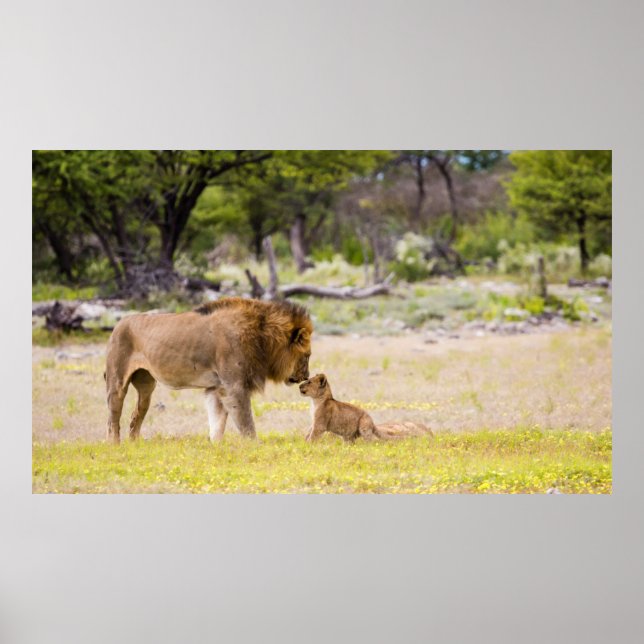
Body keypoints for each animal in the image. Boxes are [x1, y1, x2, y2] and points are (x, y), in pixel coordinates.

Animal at [104, 297, 313, 444]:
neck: (263, 338)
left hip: (147, 385)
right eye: (307, 355)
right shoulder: (234, 387)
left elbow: (217, 423)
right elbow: (246, 422)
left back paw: (135, 444)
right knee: (112, 418)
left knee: (136, 414)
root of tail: (118, 324)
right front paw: (255, 445)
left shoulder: (216, 388)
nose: (306, 376)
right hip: (117, 382)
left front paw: (215, 447)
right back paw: (115, 445)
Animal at [299, 374, 432, 442]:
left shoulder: (320, 424)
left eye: (309, 382)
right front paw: (304, 441)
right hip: (348, 436)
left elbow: (313, 435)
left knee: (372, 440)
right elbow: (309, 431)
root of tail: (373, 423)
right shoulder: (314, 422)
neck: (316, 400)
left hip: (364, 426)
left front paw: (307, 445)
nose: (299, 385)